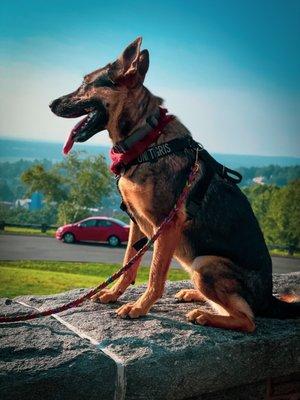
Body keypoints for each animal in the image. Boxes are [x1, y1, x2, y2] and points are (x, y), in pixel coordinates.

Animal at [50, 36, 298, 332]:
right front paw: (114, 293)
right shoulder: (136, 223)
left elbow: (156, 275)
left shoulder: (165, 226)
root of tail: (269, 299)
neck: (146, 138)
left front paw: (139, 307)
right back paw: (194, 295)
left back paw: (205, 315)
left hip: (204, 263)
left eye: (86, 83)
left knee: (248, 320)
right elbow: (128, 263)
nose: (50, 104)